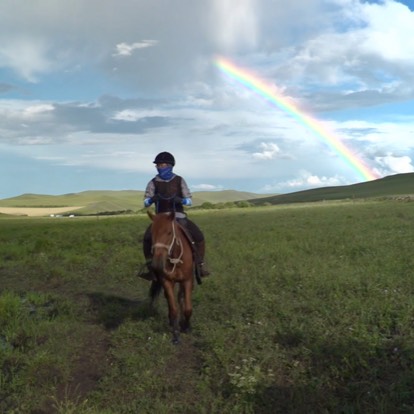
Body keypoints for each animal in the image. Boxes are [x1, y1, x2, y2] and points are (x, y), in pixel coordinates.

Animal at [147, 210, 196, 342]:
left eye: (169, 232)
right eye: (151, 233)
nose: (157, 263)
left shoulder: (187, 280)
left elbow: (188, 308)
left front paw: (186, 327)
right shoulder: (167, 281)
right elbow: (173, 309)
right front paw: (176, 334)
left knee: (181, 297)